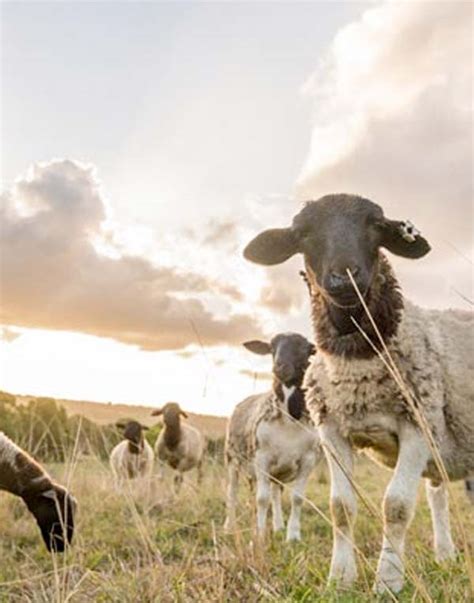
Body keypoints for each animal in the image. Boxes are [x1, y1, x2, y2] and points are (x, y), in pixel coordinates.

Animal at [223, 332, 322, 544]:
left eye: (308, 348)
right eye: (271, 348)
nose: (279, 367)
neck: (289, 419)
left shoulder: (308, 460)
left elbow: (297, 498)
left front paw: (293, 536)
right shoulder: (262, 458)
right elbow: (262, 499)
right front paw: (259, 535)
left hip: (278, 470)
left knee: (276, 493)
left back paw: (278, 526)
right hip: (232, 458)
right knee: (232, 492)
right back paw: (229, 527)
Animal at [244, 193, 474, 596]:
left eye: (376, 226)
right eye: (302, 233)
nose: (344, 278)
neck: (358, 366)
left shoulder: (418, 426)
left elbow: (396, 506)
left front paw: (388, 581)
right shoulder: (333, 431)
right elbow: (341, 507)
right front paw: (340, 577)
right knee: (437, 494)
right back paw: (445, 554)